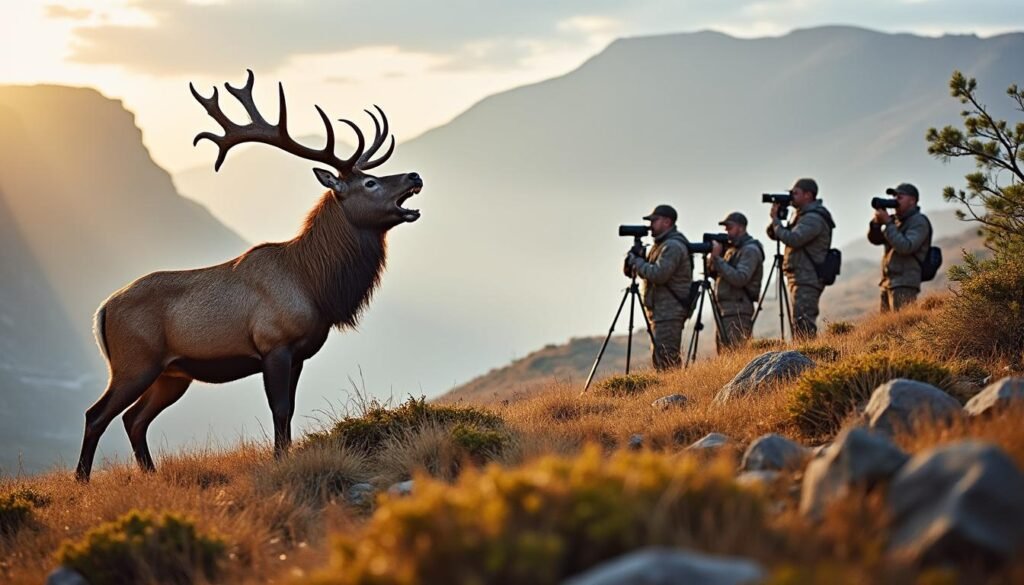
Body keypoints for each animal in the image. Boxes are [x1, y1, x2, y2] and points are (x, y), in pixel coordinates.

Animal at [74, 70, 423, 481]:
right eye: (370, 183)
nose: (414, 175)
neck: (314, 286)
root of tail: (102, 311)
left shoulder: (298, 354)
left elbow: (289, 411)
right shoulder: (274, 344)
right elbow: (280, 409)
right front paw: (278, 461)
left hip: (171, 374)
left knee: (134, 419)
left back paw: (151, 473)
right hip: (134, 363)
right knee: (96, 414)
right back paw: (82, 480)